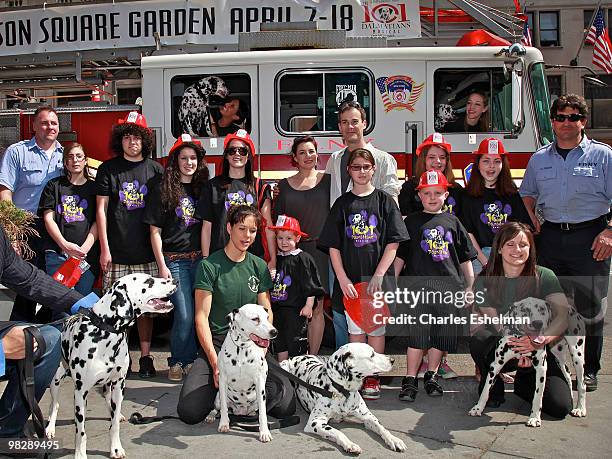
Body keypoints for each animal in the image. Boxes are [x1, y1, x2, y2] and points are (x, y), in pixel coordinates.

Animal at [45, 274, 177, 458]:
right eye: (149, 281)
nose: (175, 281)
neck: (105, 333)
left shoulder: (118, 384)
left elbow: (114, 425)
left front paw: (116, 448)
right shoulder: (81, 392)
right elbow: (81, 431)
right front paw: (80, 453)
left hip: (110, 386)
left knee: (109, 401)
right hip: (56, 380)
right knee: (54, 404)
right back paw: (50, 428)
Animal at [206, 306, 278, 442]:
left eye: (267, 317)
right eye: (255, 319)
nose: (274, 332)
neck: (242, 349)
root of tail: (240, 412)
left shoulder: (259, 383)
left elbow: (263, 414)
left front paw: (264, 432)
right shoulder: (222, 381)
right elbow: (224, 408)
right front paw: (224, 424)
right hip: (217, 397)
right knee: (216, 408)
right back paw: (211, 416)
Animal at [468, 298, 588, 428]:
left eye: (542, 309)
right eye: (524, 310)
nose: (538, 323)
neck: (521, 338)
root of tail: (571, 308)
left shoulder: (541, 368)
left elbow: (538, 396)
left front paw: (534, 417)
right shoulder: (495, 366)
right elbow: (485, 390)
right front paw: (478, 408)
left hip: (577, 354)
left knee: (582, 384)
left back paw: (580, 408)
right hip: (558, 354)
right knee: (568, 375)